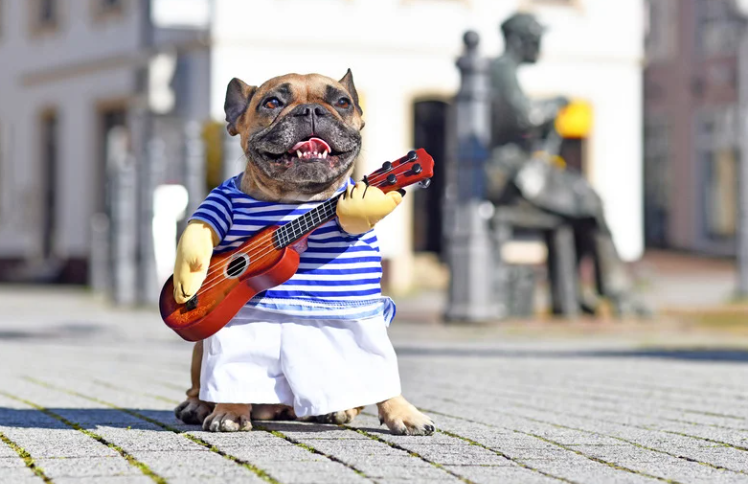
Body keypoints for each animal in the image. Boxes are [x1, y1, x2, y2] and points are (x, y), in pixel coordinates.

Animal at [171, 71, 432, 434]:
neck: (297, 200)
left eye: (342, 102)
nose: (310, 110)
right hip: (204, 344)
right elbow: (202, 227)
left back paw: (340, 410)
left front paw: (402, 413)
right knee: (206, 381)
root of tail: (280, 408)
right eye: (272, 103)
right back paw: (209, 406)